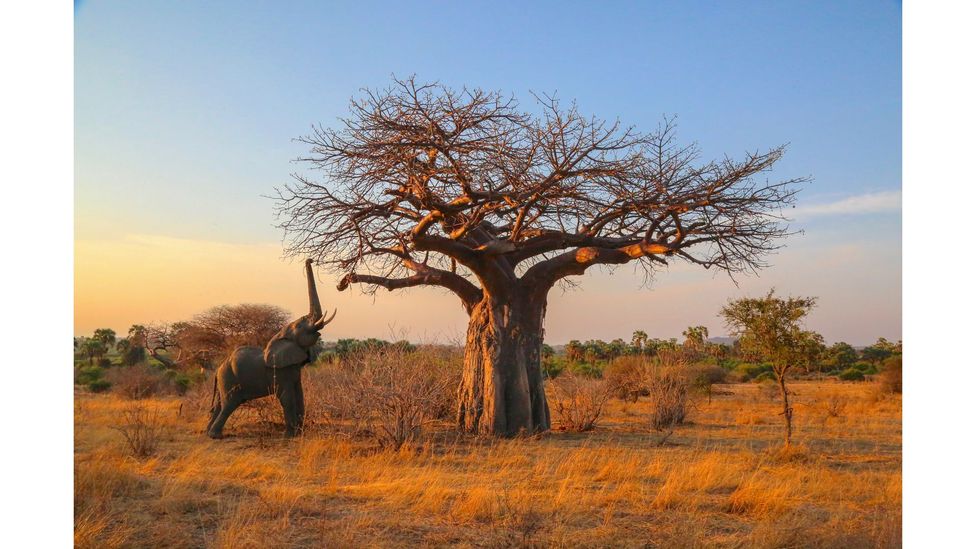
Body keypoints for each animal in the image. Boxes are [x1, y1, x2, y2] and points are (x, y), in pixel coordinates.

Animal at [205, 260, 336, 438]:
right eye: (301, 324)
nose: (310, 260)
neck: (281, 336)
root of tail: (218, 369)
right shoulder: (280, 372)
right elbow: (287, 398)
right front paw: (290, 435)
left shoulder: (293, 371)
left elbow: (300, 395)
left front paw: (299, 432)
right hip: (229, 378)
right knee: (230, 403)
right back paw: (215, 436)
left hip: (224, 379)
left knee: (219, 405)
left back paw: (208, 432)